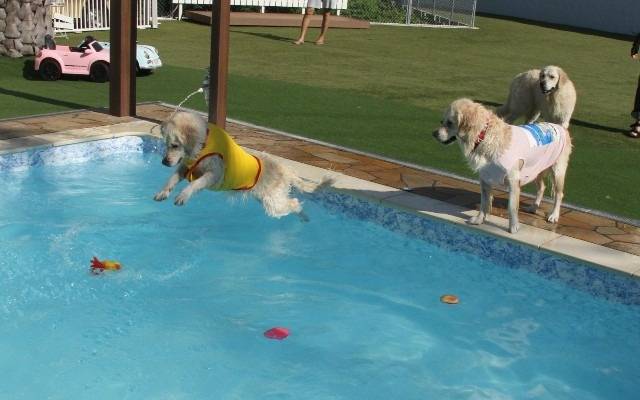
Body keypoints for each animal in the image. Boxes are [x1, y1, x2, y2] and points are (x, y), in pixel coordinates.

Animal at [153, 111, 332, 218]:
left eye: (175, 145)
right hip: (266, 197)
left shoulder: (214, 174)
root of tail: (284, 168)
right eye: (166, 143)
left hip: (272, 202)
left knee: (294, 203)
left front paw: (183, 195)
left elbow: (195, 183)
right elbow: (172, 179)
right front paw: (163, 192)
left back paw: (302, 216)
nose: (164, 161)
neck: (203, 144)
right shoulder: (185, 167)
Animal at [433, 98, 573, 233]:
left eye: (450, 123)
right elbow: (484, 203)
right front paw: (479, 220)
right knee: (542, 188)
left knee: (559, 194)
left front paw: (513, 227)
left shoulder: (513, 181)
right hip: (536, 169)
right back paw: (534, 207)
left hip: (557, 171)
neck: (483, 135)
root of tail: (560, 126)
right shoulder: (485, 179)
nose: (434, 133)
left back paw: (554, 215)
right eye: (442, 121)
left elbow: (511, 207)